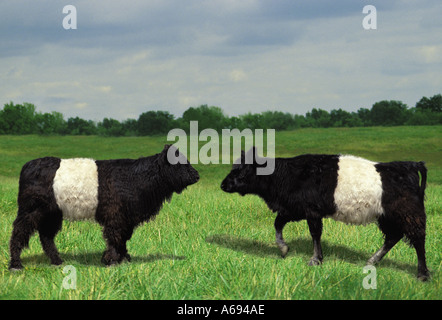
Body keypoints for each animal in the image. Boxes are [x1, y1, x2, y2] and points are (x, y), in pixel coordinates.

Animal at [9, 144, 199, 268]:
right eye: (179, 162)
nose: (196, 175)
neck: (136, 178)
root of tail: (28, 165)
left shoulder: (126, 218)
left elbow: (123, 238)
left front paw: (123, 258)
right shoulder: (115, 216)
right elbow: (115, 237)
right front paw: (112, 261)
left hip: (52, 213)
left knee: (46, 236)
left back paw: (57, 261)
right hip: (31, 210)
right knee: (19, 231)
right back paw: (16, 264)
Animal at [220, 148, 428, 280]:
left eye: (241, 169)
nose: (223, 184)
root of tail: (408, 165)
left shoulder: (311, 211)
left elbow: (315, 234)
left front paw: (315, 260)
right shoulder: (293, 209)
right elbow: (277, 224)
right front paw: (283, 248)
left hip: (408, 213)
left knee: (417, 239)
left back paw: (422, 274)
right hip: (387, 216)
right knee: (393, 237)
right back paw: (372, 260)